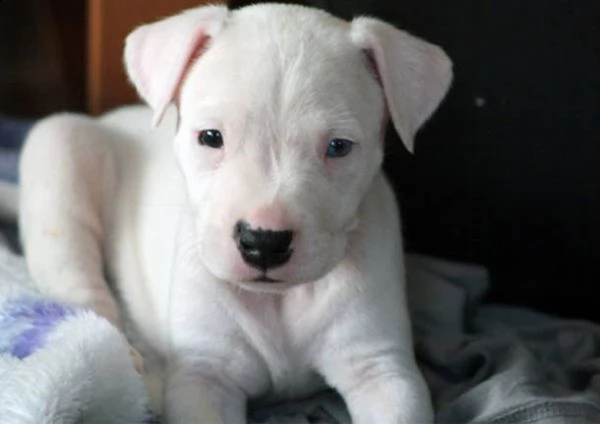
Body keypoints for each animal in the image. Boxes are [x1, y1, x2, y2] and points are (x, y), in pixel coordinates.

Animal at [17, 2, 450, 420]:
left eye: (339, 147)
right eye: (211, 137)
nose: (264, 242)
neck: (278, 301)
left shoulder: (381, 368)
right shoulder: (204, 375)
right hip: (61, 152)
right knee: (82, 296)